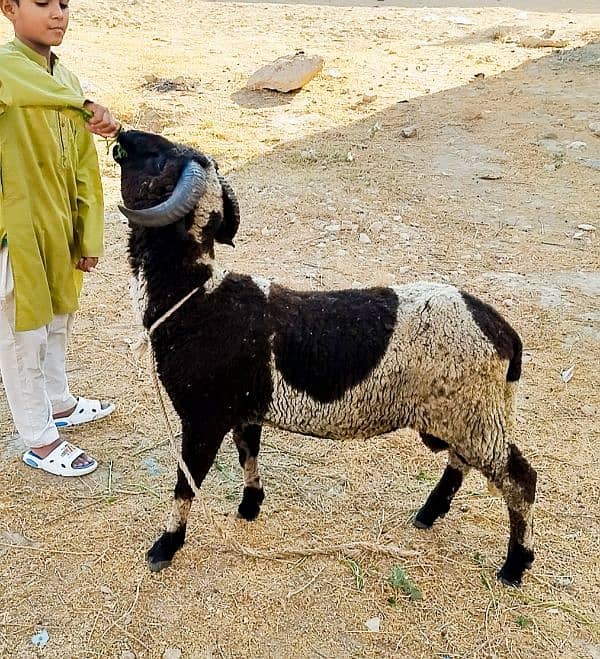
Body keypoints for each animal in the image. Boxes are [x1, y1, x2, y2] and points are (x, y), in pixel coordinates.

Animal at [115, 130, 536, 588]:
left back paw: (515, 564)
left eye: (159, 161)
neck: (195, 297)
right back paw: (428, 514)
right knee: (461, 464)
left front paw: (166, 545)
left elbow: (185, 485)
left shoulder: (203, 419)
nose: (121, 135)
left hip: (475, 417)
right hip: (462, 416)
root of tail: (504, 333)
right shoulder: (245, 410)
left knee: (519, 479)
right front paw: (250, 505)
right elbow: (249, 454)